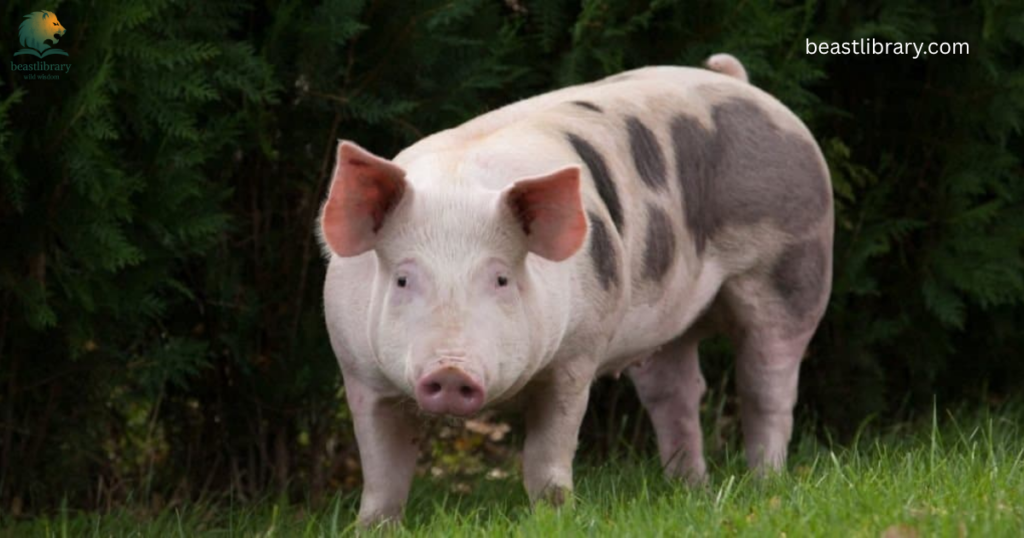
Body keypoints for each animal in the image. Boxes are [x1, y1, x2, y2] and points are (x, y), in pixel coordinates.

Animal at [321, 54, 833, 525]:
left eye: (501, 279)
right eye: (403, 278)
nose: (450, 369)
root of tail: (741, 83)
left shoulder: (575, 357)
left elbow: (547, 453)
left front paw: (554, 516)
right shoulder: (359, 374)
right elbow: (382, 471)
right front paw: (371, 527)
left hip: (794, 270)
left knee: (766, 385)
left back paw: (766, 483)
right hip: (662, 319)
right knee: (678, 391)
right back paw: (689, 488)